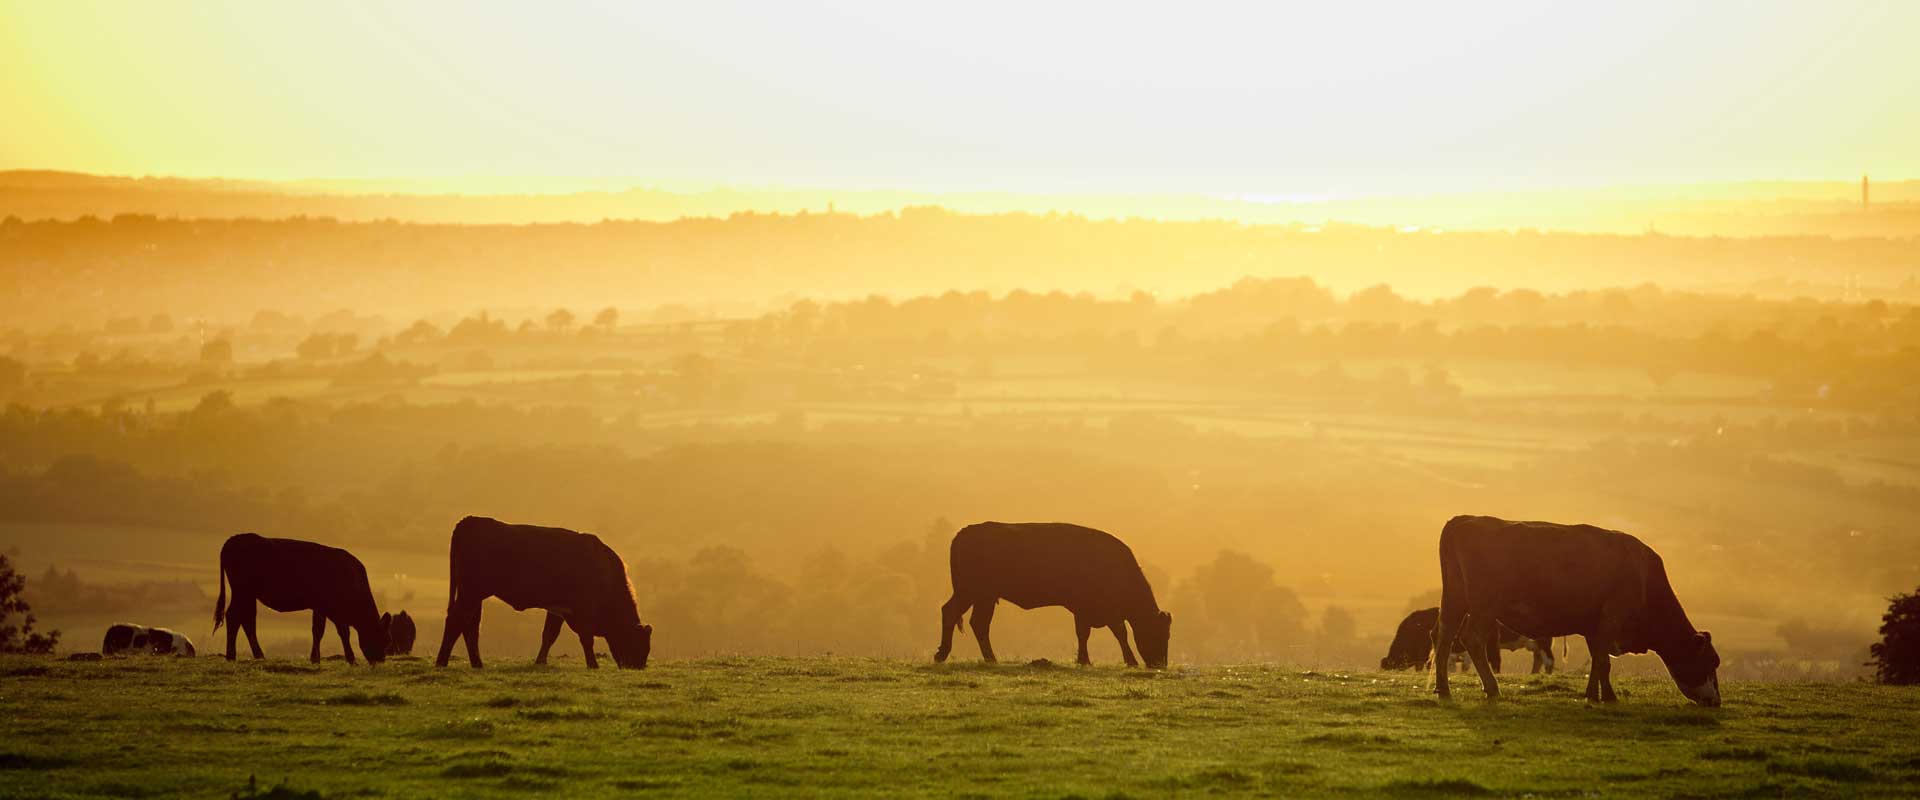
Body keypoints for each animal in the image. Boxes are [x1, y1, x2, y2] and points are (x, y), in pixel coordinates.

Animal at [214, 533, 389, 663]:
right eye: (381, 636)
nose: (380, 659)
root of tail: (234, 539)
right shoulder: (331, 609)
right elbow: (339, 632)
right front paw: (350, 658)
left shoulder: (321, 608)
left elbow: (318, 631)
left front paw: (315, 658)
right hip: (242, 591)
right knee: (235, 617)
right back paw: (233, 656)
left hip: (247, 595)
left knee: (246, 619)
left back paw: (256, 655)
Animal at [432, 514, 648, 663]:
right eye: (638, 643)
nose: (637, 666)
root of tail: (471, 520)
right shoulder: (582, 610)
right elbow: (586, 639)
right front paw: (593, 665)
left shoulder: (558, 609)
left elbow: (549, 635)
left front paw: (540, 662)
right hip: (471, 592)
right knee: (457, 621)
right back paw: (442, 662)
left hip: (474, 596)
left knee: (470, 625)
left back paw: (477, 664)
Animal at [929, 521, 1167, 667]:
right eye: (1158, 633)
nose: (1161, 665)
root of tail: (964, 532)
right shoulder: (1092, 609)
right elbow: (1114, 632)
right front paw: (1128, 661)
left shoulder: (1089, 611)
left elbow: (1091, 633)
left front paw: (1084, 660)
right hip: (970, 592)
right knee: (952, 613)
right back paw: (943, 655)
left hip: (983, 597)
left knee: (977, 623)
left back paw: (989, 659)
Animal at [1436, 514, 1720, 702]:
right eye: (1711, 661)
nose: (1716, 701)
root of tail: (1465, 520)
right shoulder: (1611, 619)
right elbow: (1603, 661)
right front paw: (1608, 696)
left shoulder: (1595, 626)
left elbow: (1599, 661)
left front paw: (1594, 694)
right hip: (1484, 606)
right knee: (1472, 639)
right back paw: (1492, 688)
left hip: (1454, 599)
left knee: (1444, 637)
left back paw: (1443, 689)